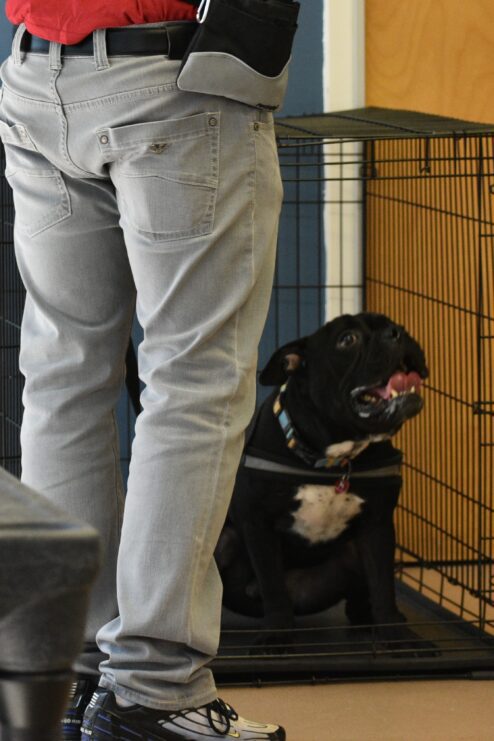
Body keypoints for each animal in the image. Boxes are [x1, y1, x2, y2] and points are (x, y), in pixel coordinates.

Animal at [216, 312, 428, 648]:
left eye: (395, 324)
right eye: (347, 340)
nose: (397, 333)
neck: (333, 460)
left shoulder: (377, 525)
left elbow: (383, 586)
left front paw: (396, 637)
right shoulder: (257, 523)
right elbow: (273, 586)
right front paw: (277, 636)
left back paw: (367, 619)